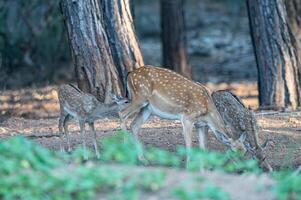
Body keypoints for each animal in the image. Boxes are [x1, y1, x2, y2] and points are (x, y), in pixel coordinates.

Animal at [118, 65, 246, 164]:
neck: (207, 111)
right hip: (139, 97)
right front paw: (189, 166)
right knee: (122, 113)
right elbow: (189, 144)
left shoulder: (201, 125)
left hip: (147, 108)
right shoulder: (187, 118)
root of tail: (130, 74)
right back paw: (125, 155)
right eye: (233, 150)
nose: (242, 167)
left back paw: (143, 160)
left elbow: (203, 147)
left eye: (244, 151)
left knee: (134, 125)